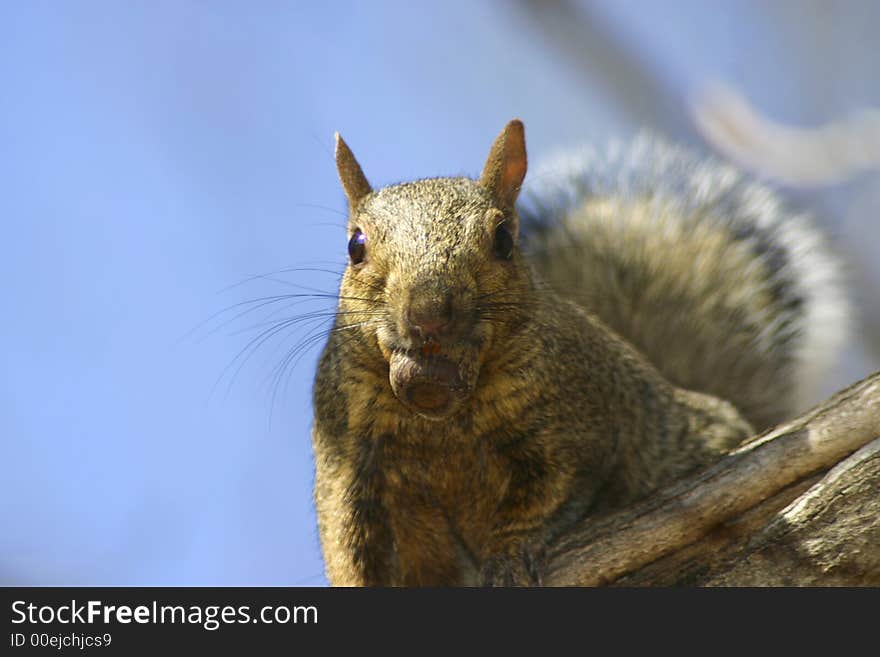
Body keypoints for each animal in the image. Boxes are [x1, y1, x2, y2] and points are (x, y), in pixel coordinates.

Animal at [308, 118, 844, 584]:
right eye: (356, 246)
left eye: (503, 239)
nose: (429, 312)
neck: (440, 423)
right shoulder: (346, 463)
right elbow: (346, 544)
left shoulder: (579, 425)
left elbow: (548, 493)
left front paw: (508, 554)